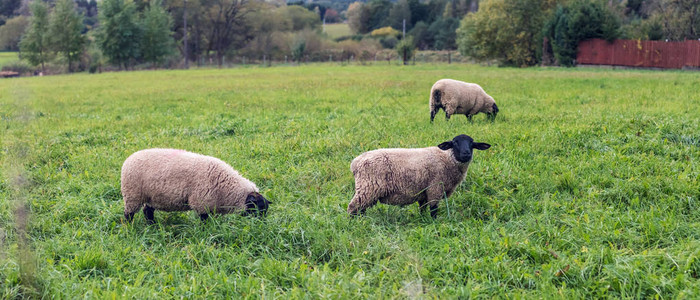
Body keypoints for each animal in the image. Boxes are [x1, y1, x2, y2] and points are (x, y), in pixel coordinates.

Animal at [121, 149, 270, 224]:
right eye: (257, 208)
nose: (261, 225)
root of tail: (129, 158)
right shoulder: (201, 202)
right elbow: (204, 220)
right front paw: (206, 230)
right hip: (132, 195)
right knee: (129, 214)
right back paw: (130, 227)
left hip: (151, 196)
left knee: (148, 211)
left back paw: (152, 225)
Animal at [346, 134, 490, 218]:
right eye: (454, 143)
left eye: (472, 144)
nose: (466, 154)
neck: (447, 158)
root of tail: (355, 162)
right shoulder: (435, 188)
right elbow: (433, 209)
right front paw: (434, 223)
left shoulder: (424, 191)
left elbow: (423, 208)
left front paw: (423, 219)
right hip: (368, 187)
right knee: (353, 207)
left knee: (361, 209)